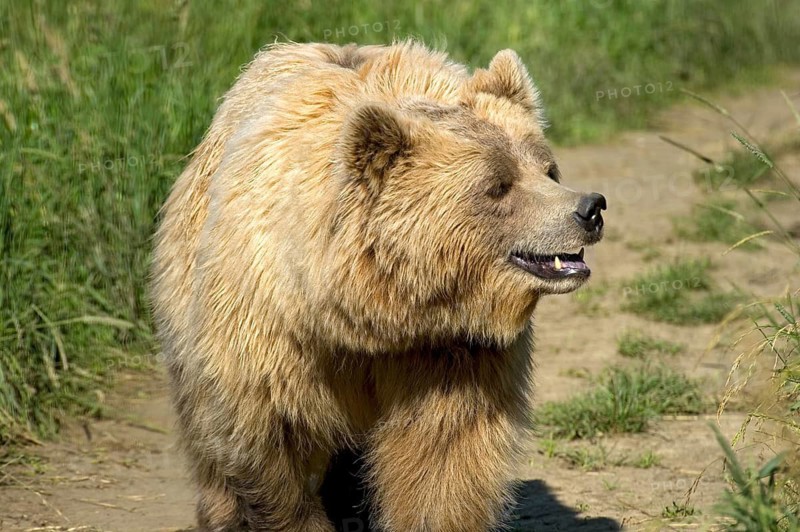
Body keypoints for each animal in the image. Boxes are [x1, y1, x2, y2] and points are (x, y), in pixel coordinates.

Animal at [150, 41, 606, 532]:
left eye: (548, 170)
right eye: (498, 185)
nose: (590, 208)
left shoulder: (453, 350)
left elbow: (443, 455)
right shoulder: (272, 337)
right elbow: (273, 446)